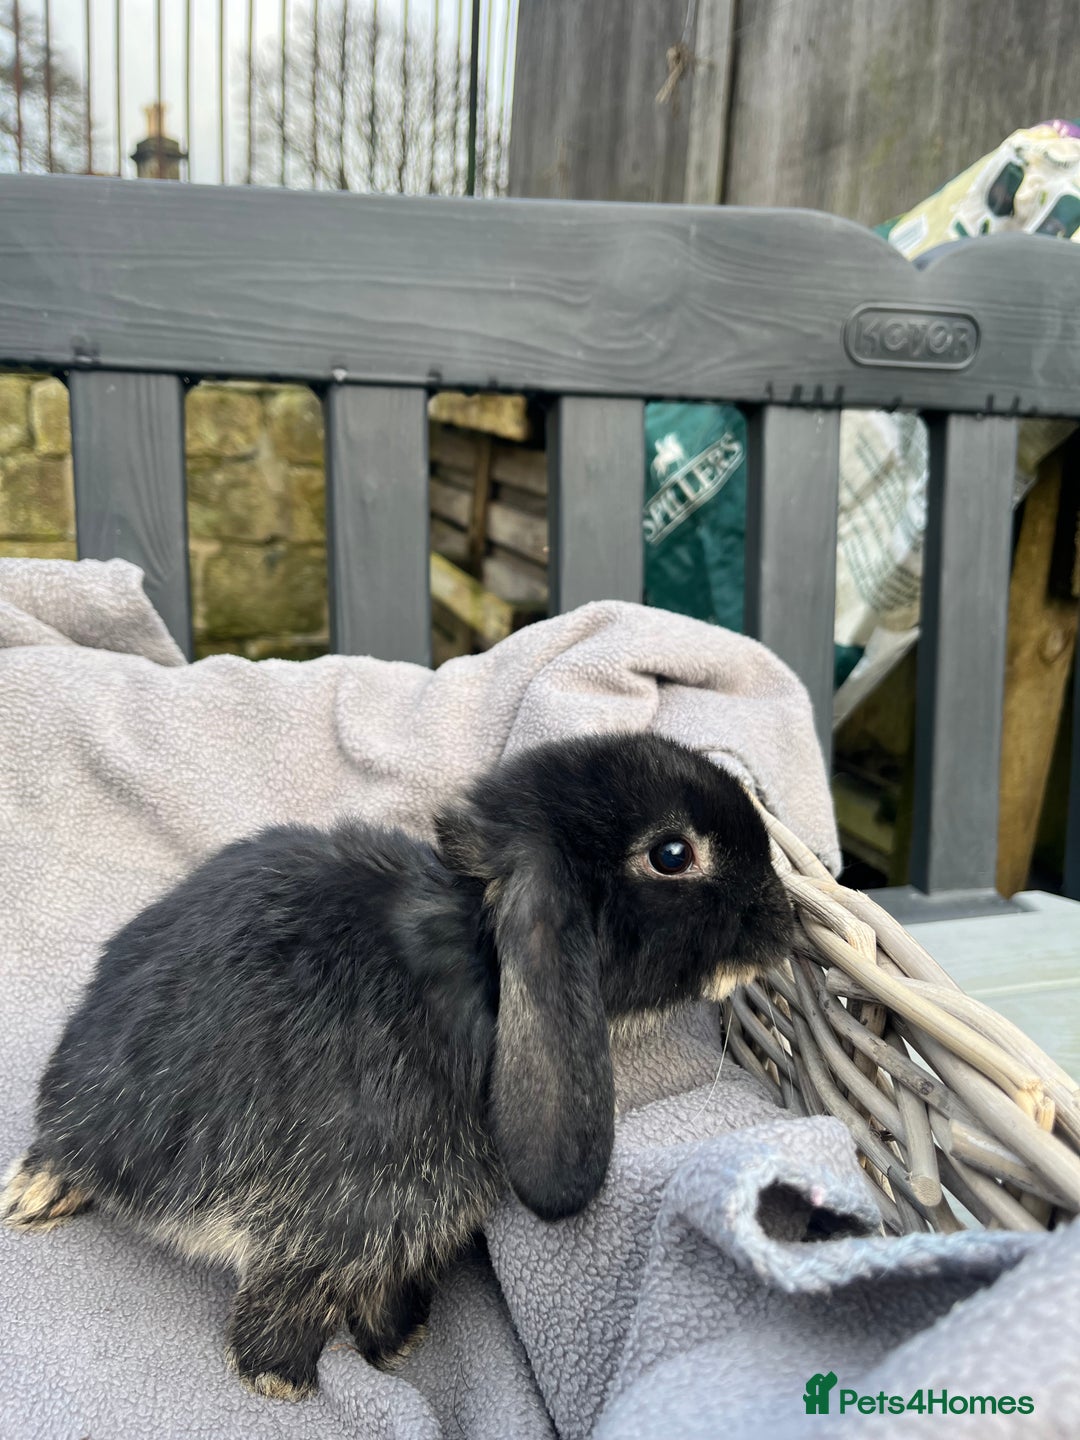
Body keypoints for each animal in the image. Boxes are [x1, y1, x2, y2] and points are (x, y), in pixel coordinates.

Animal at [2, 731, 793, 1401]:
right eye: (672, 854)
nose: (784, 923)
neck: (478, 956)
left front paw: (394, 1338)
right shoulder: (346, 1210)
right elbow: (296, 1291)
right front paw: (288, 1377)